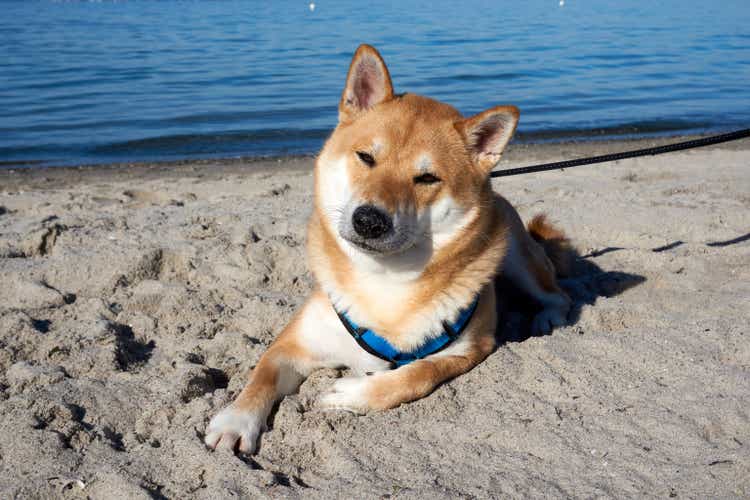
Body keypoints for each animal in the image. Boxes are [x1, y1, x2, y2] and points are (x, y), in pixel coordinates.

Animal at [203, 45, 572, 456]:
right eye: (366, 157)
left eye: (426, 178)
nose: (369, 220)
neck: (383, 280)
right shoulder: (295, 343)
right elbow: (261, 375)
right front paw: (236, 420)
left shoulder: (470, 348)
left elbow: (417, 374)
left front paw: (354, 393)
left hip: (516, 260)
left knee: (558, 293)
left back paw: (547, 318)